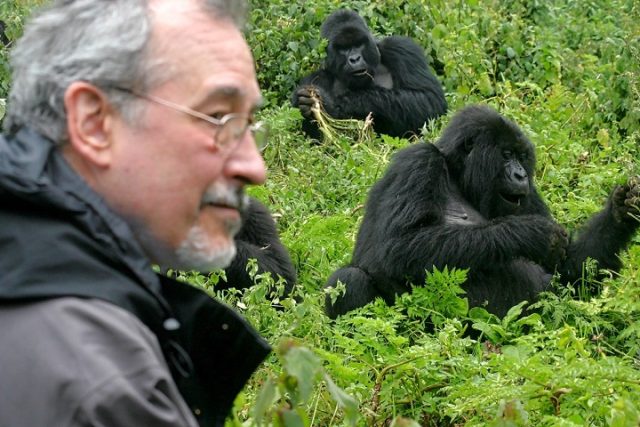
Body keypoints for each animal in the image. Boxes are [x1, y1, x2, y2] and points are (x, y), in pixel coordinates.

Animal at [292, 10, 448, 140]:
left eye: (359, 44)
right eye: (343, 48)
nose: (355, 59)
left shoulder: (402, 49)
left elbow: (429, 98)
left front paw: (335, 104)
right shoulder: (316, 78)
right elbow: (317, 142)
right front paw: (307, 104)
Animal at [324, 105, 640, 320]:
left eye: (522, 156)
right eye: (506, 155)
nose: (520, 175)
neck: (457, 174)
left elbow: (570, 273)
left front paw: (620, 213)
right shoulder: (417, 162)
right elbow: (396, 248)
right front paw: (531, 234)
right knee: (349, 279)